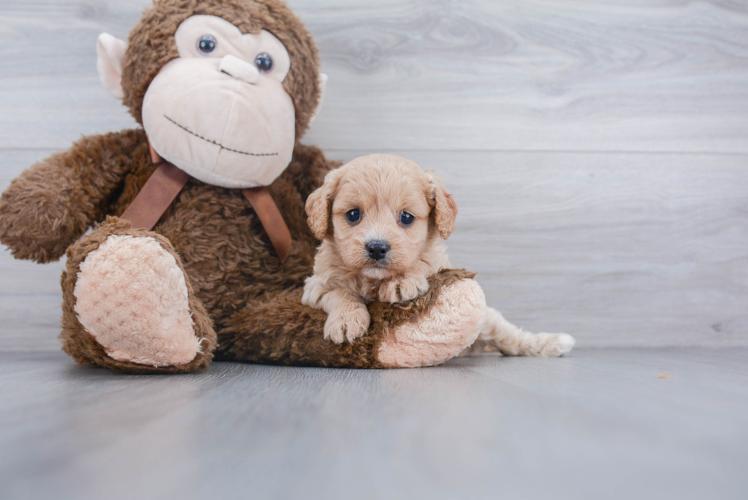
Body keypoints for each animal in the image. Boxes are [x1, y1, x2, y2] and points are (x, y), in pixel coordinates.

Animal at [300, 152, 576, 356]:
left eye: (406, 217)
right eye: (353, 214)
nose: (377, 247)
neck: (373, 280)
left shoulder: (438, 263)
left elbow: (423, 261)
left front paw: (402, 281)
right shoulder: (316, 285)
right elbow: (340, 293)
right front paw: (346, 320)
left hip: (489, 321)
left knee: (509, 337)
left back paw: (553, 342)